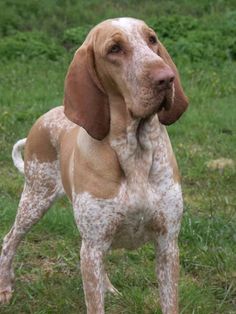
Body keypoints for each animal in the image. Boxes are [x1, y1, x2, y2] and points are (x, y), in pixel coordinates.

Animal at [0, 17, 188, 314]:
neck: (134, 151)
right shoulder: (94, 246)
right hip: (35, 200)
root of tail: (46, 117)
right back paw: (5, 288)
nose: (166, 78)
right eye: (114, 49)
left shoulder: (167, 243)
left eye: (152, 39)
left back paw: (107, 286)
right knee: (9, 240)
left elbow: (169, 301)